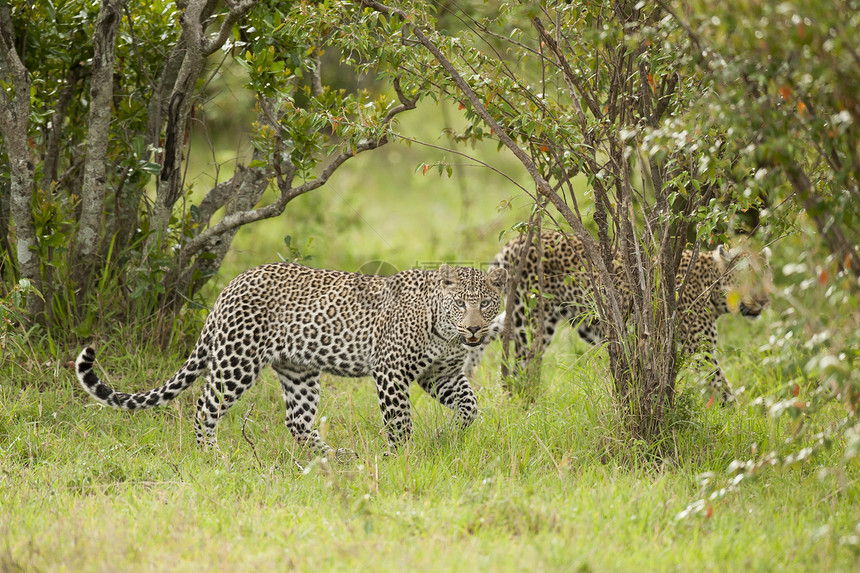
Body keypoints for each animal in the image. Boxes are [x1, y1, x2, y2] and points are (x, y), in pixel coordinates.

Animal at [77, 262, 508, 454]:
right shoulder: (391, 371)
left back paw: (333, 457)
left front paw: (451, 435)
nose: (475, 330)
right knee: (205, 405)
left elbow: (470, 405)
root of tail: (230, 286)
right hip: (237, 359)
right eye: (460, 304)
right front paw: (398, 457)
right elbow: (399, 421)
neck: (446, 334)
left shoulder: (441, 375)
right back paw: (210, 456)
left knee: (296, 420)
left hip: (298, 370)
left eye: (486, 304)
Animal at [466, 231, 776, 402]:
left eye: (766, 276)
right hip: (530, 321)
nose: (764, 300)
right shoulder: (701, 352)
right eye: (746, 278)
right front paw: (738, 423)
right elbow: (722, 388)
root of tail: (516, 240)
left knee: (481, 338)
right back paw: (524, 403)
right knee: (518, 368)